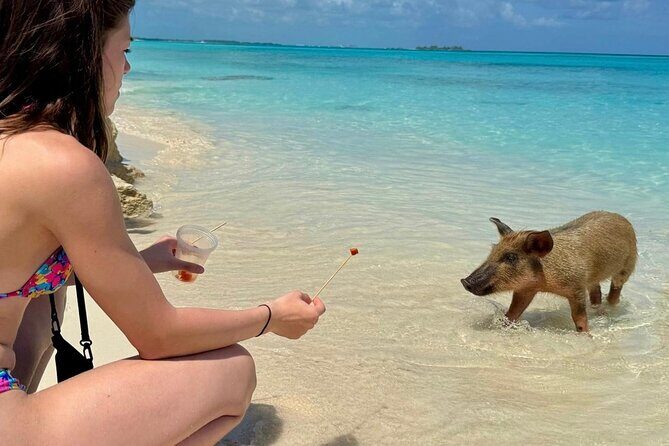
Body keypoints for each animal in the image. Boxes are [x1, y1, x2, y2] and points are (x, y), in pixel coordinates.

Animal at [461, 211, 637, 332]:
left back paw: (610, 310)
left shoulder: (577, 287)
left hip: (627, 266)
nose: (465, 281)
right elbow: (513, 312)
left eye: (511, 257)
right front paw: (504, 326)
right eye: (493, 250)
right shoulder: (525, 289)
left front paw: (587, 335)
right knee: (596, 292)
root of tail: (622, 218)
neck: (545, 283)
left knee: (615, 290)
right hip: (594, 279)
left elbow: (579, 318)